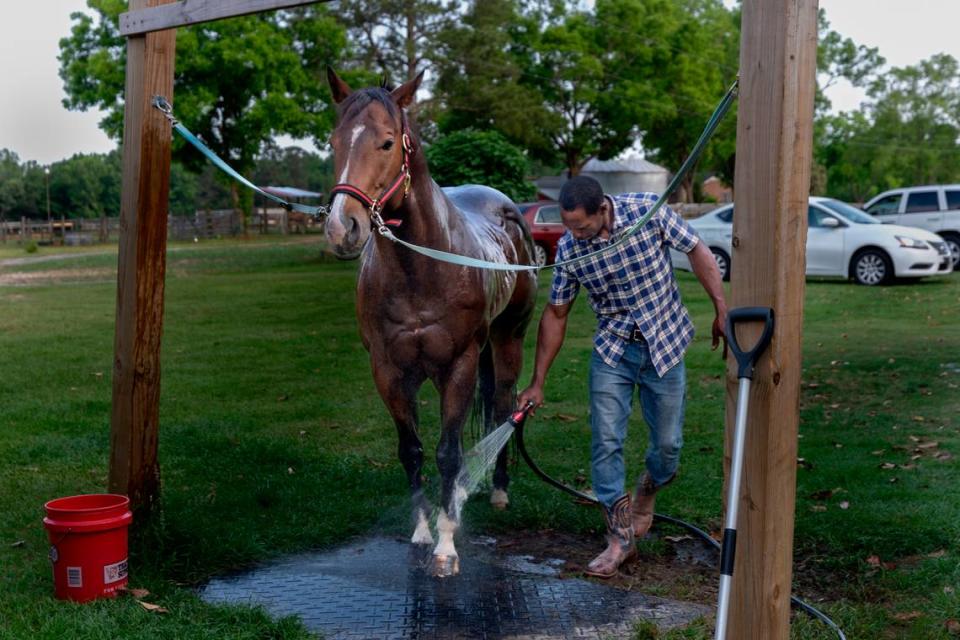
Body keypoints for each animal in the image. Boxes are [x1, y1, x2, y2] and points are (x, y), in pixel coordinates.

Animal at [324, 67, 540, 576]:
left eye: (387, 143)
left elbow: (447, 453)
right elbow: (412, 450)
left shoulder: (457, 367)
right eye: (334, 141)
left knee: (503, 405)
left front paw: (446, 545)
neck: (419, 270)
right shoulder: (388, 371)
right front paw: (422, 533)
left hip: (508, 339)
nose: (343, 228)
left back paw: (497, 490)